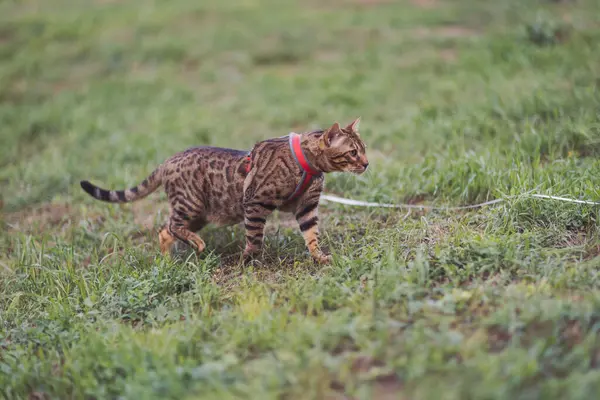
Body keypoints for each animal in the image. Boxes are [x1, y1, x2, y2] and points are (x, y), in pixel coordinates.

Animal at [79, 117, 368, 264]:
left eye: (364, 149)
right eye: (353, 152)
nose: (366, 163)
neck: (309, 165)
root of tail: (167, 161)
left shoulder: (307, 206)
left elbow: (312, 235)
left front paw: (319, 257)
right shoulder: (255, 203)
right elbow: (255, 239)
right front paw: (248, 261)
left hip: (199, 215)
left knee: (164, 231)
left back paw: (167, 260)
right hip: (191, 204)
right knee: (172, 225)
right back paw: (195, 244)